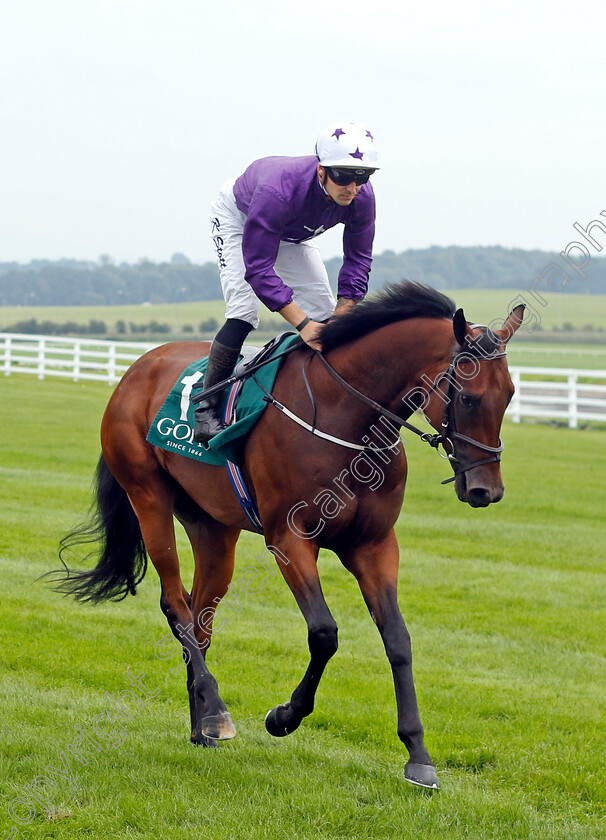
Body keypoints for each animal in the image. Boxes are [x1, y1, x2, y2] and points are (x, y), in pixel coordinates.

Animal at [54, 280, 524, 788]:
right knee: (175, 604)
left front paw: (418, 755)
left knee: (200, 619)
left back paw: (202, 727)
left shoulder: (374, 544)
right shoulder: (289, 538)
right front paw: (284, 716)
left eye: (510, 394)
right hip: (148, 498)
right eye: (469, 397)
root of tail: (136, 370)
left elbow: (398, 639)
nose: (486, 489)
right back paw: (216, 712)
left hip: (213, 527)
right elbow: (324, 633)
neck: (346, 418)